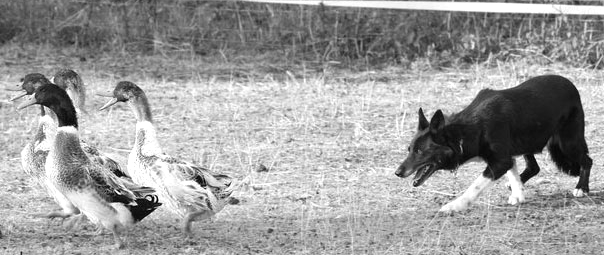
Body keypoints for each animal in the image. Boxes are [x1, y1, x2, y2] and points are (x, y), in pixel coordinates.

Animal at [396, 74, 588, 212]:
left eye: (420, 151)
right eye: (409, 149)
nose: (397, 173)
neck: (467, 132)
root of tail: (571, 85)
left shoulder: (500, 161)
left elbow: (475, 186)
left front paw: (455, 205)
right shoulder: (506, 156)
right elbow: (512, 171)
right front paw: (518, 195)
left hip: (567, 142)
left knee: (587, 160)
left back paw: (582, 188)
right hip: (527, 141)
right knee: (534, 167)